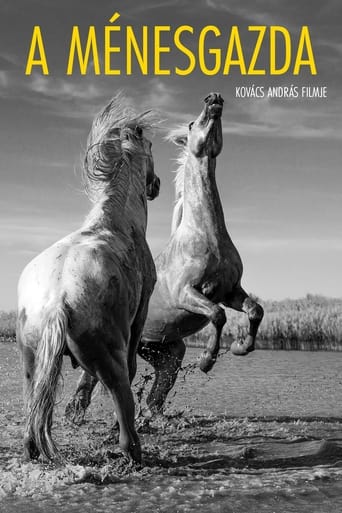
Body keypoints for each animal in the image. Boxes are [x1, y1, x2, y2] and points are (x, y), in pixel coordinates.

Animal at [18, 94, 162, 462]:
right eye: (150, 147)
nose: (155, 185)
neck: (118, 221)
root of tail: (57, 299)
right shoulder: (140, 314)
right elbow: (130, 367)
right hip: (109, 357)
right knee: (122, 400)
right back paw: (134, 453)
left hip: (32, 360)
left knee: (35, 412)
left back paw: (35, 448)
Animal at [67, 92, 264, 420]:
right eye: (192, 123)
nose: (214, 99)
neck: (206, 235)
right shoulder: (189, 293)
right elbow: (218, 315)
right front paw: (207, 361)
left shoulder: (231, 290)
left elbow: (254, 310)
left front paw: (241, 347)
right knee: (90, 380)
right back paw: (75, 414)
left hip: (166, 352)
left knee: (155, 394)